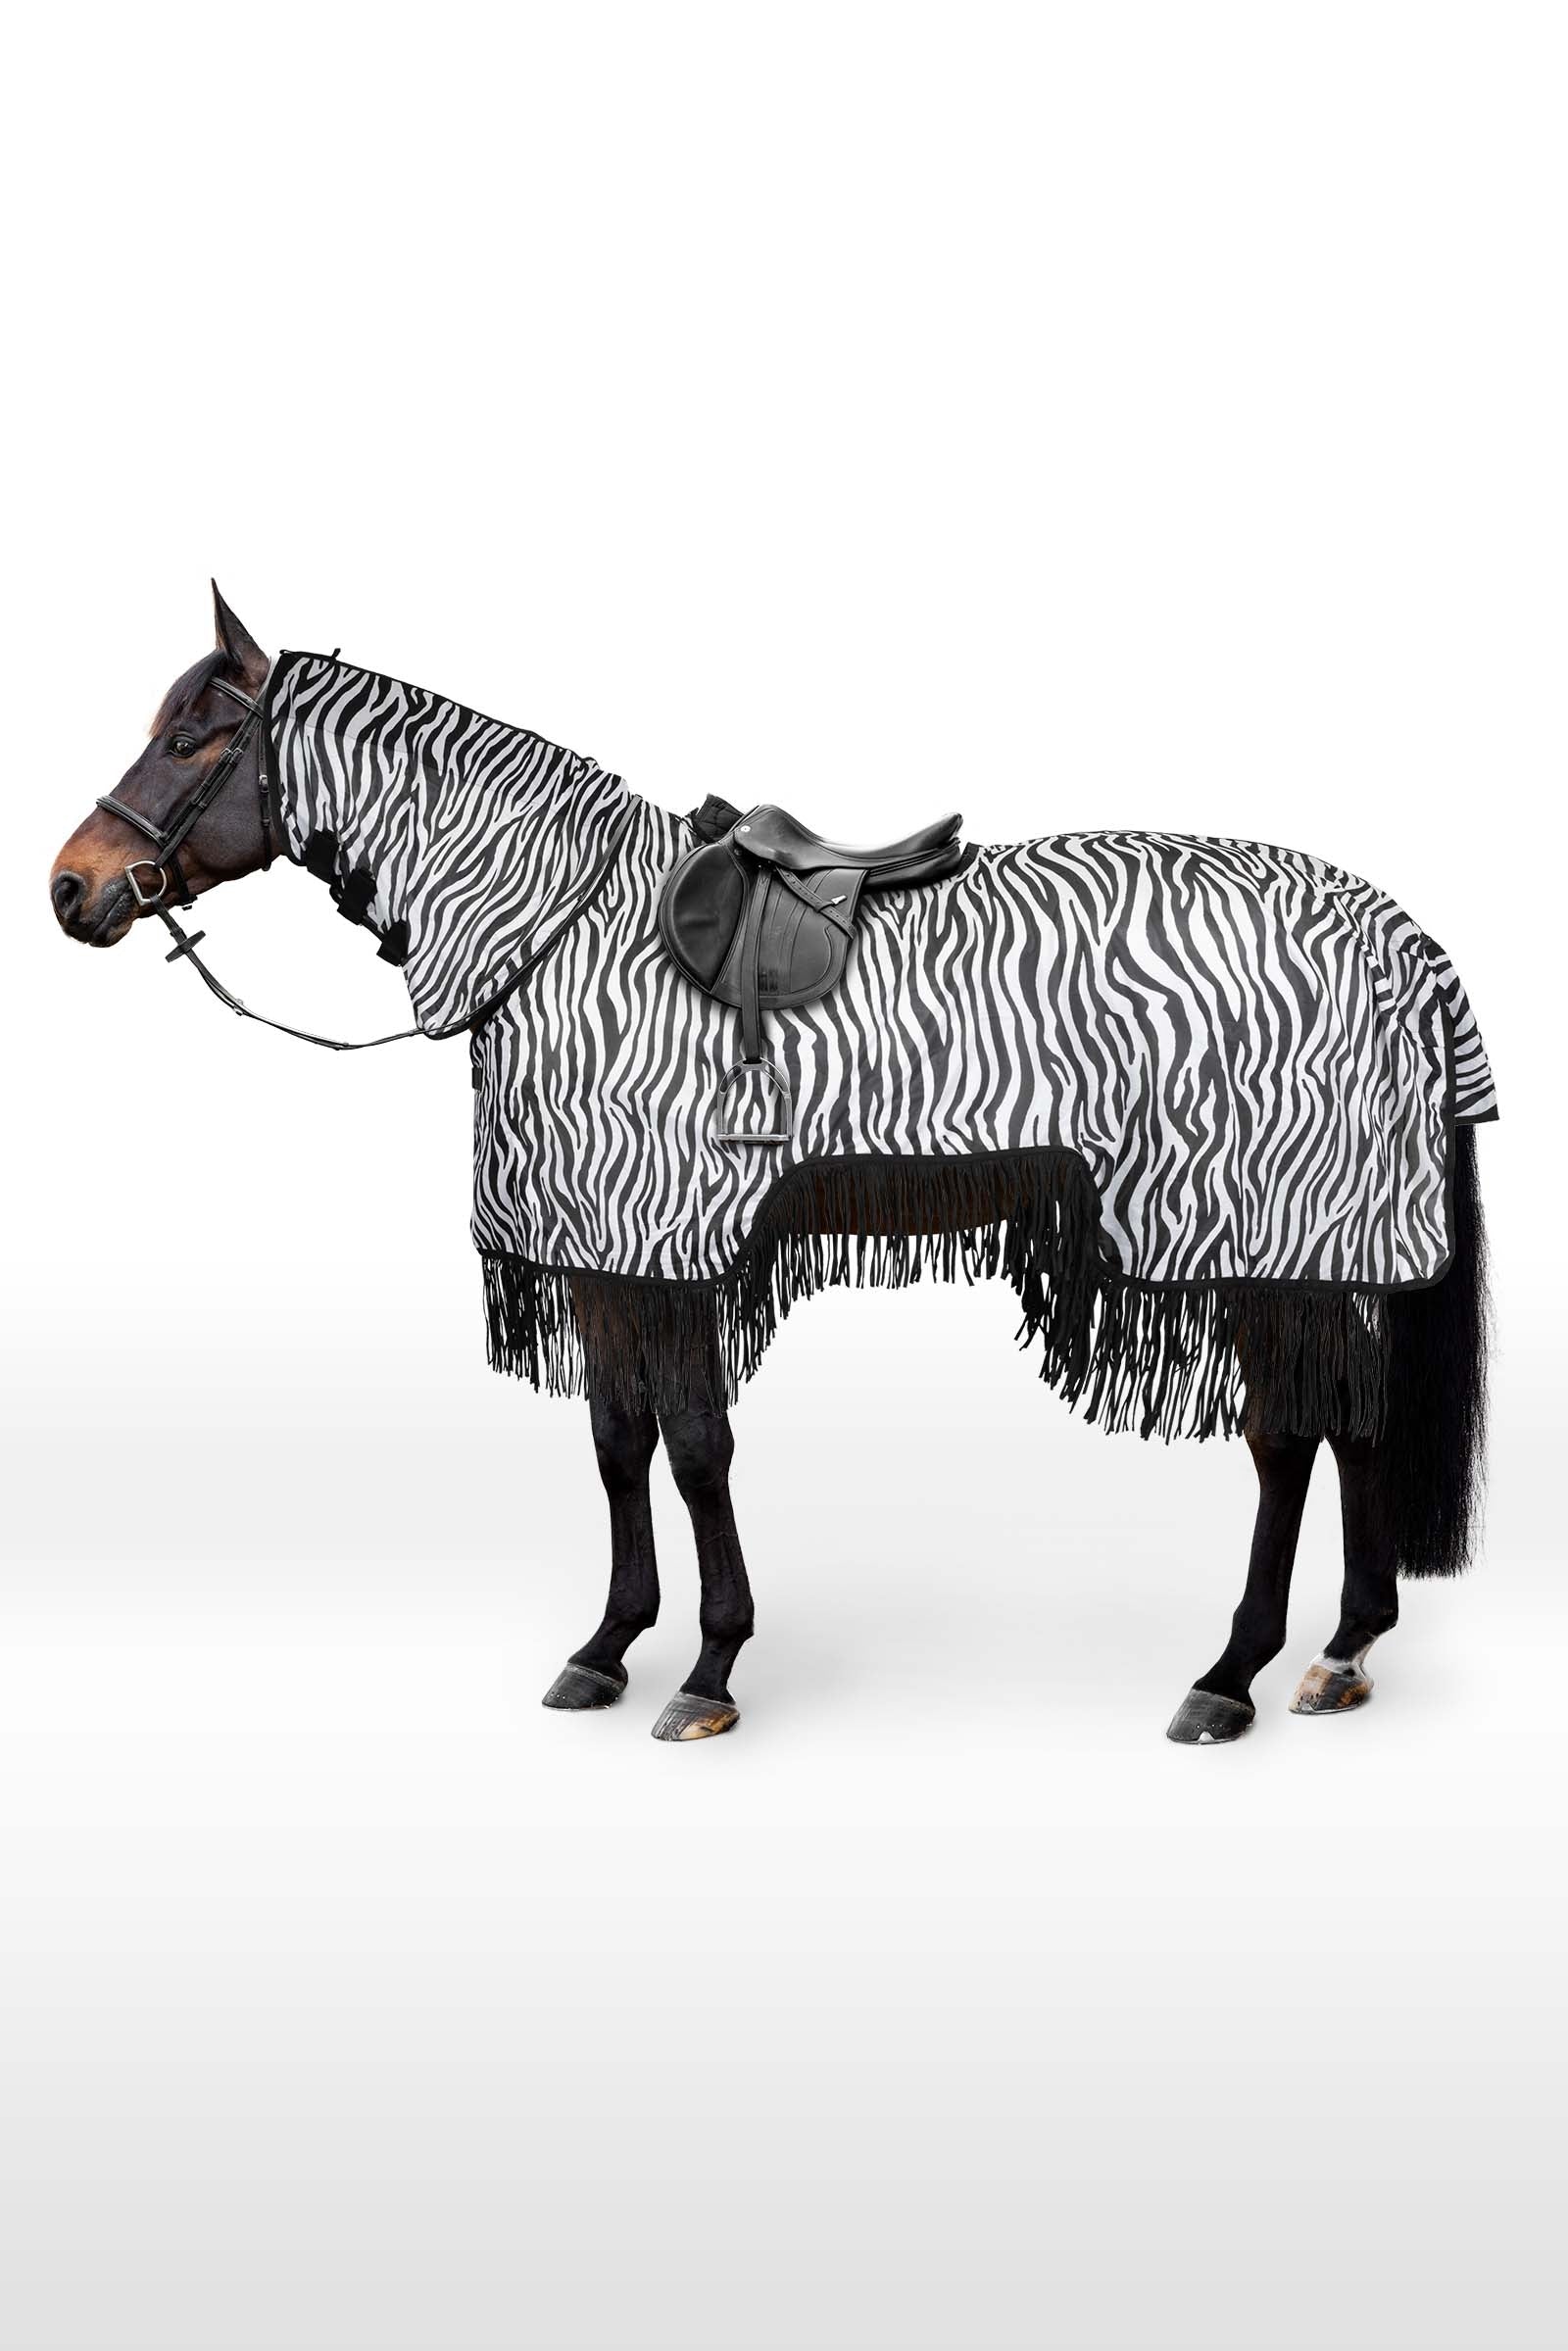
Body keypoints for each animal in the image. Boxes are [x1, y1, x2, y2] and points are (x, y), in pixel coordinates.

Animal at [51, 587, 1495, 1745]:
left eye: (195, 738)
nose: (72, 887)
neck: (566, 931)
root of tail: (1402, 938)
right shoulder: (608, 1255)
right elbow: (619, 1438)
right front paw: (608, 1645)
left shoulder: (667, 1244)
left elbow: (694, 1446)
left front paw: (709, 1667)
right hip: (1314, 1245)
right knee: (1352, 1416)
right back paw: (1343, 1649)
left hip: (1261, 1231)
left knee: (1288, 1433)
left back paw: (1234, 1672)